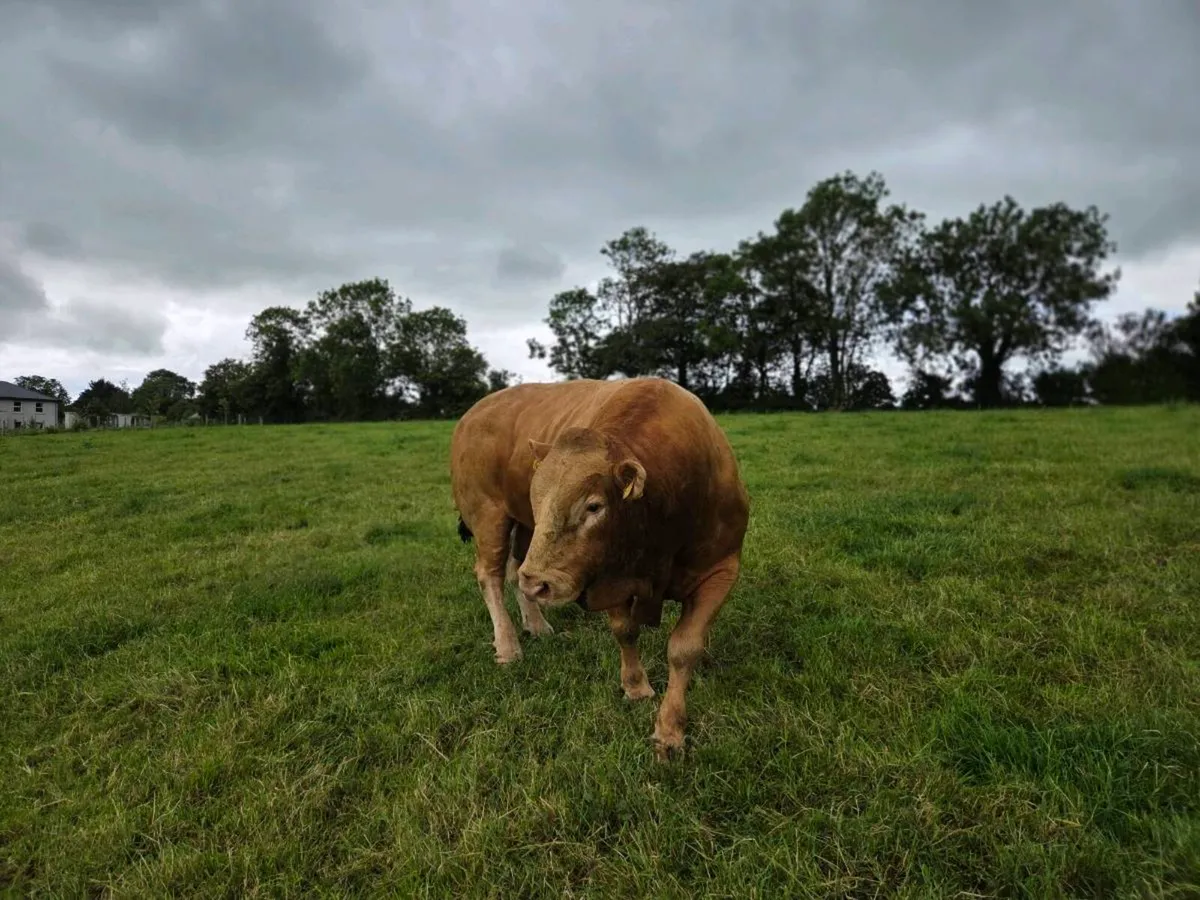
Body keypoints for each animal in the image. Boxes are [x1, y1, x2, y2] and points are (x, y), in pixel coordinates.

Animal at [449, 376, 750, 759]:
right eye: (538, 499)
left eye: (593, 506)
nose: (541, 583)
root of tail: (475, 411)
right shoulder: (607, 578)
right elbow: (625, 630)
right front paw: (637, 687)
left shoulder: (721, 570)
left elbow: (684, 648)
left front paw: (669, 729)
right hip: (489, 516)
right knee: (490, 576)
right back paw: (508, 645)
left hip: (524, 532)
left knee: (516, 572)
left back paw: (536, 623)